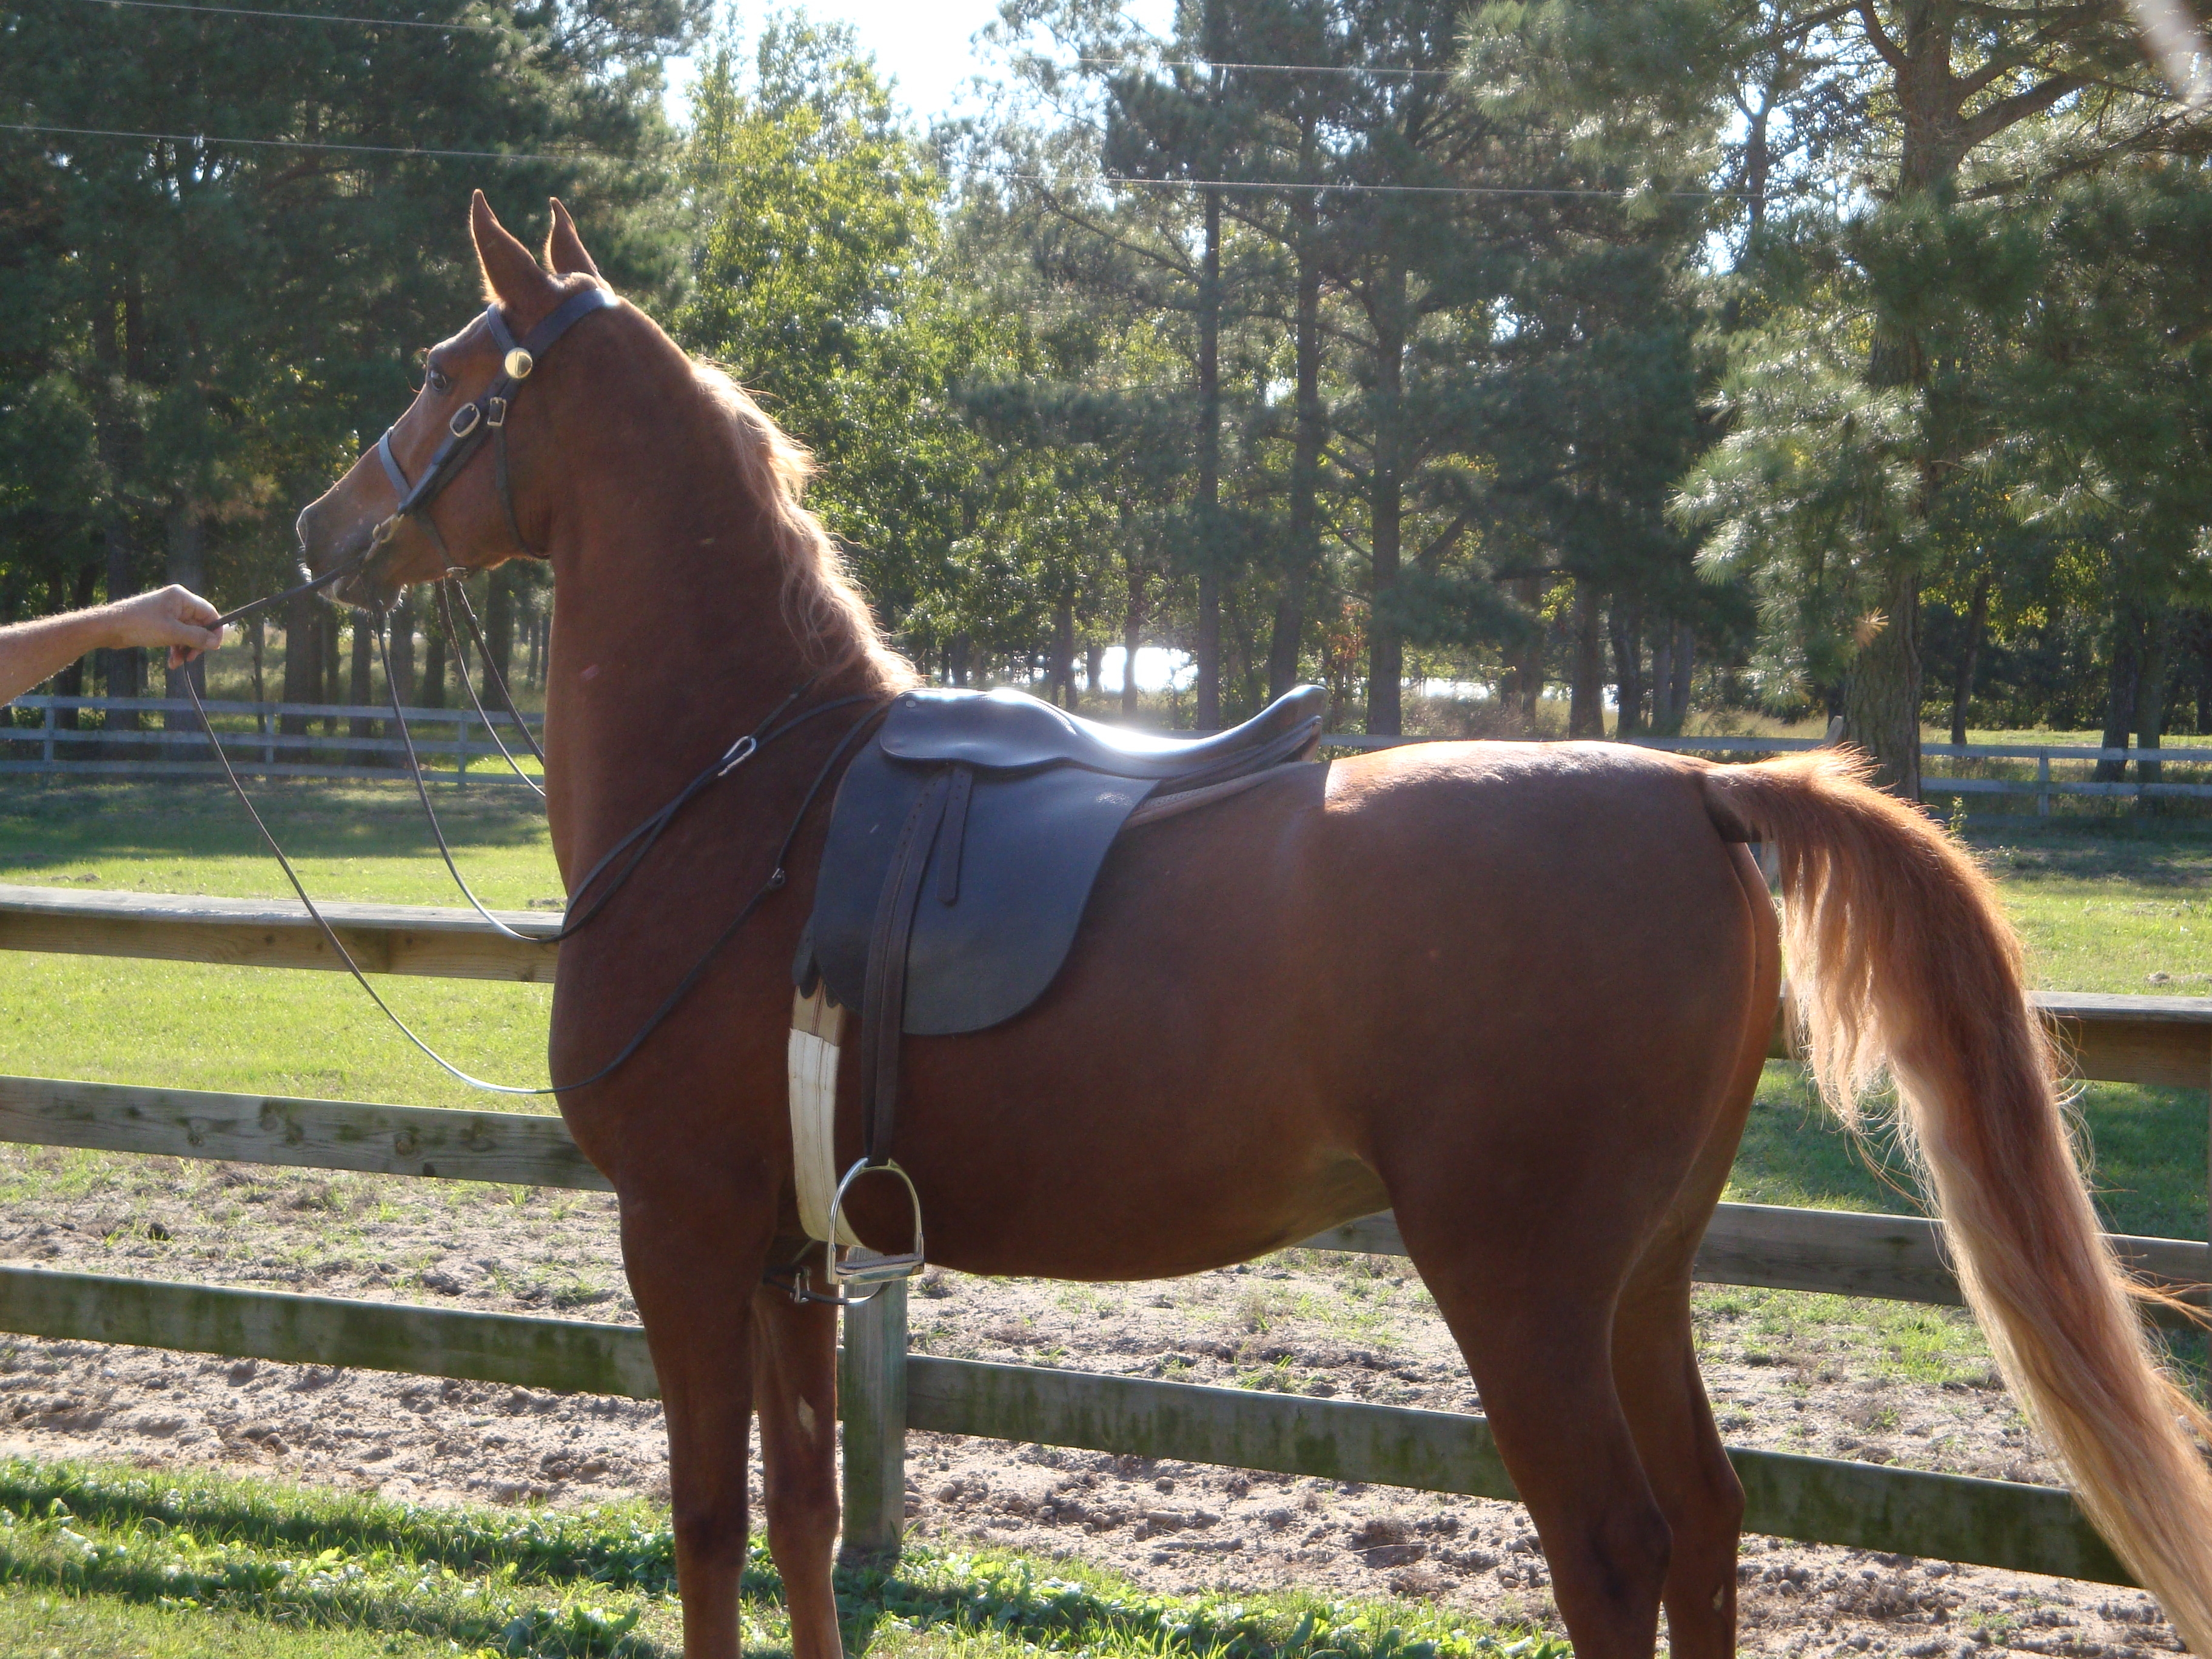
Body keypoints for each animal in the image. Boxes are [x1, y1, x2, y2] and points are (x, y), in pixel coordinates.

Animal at [298, 201, 2212, 1659]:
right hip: (1640, 1278)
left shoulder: (682, 1237)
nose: (322, 526)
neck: (749, 797)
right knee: (1713, 1519)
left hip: (1521, 1288)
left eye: (446, 374)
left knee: (1615, 1546)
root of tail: (1694, 787)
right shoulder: (785, 1255)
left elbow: (704, 1522)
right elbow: (801, 1515)